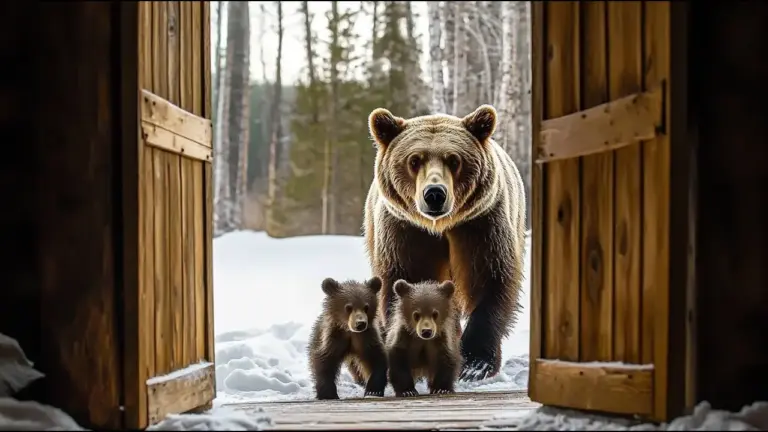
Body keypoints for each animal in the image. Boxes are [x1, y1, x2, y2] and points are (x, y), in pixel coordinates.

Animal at [364, 104, 527, 382]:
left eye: (454, 160)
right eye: (414, 160)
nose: (434, 194)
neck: (440, 227)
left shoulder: (480, 225)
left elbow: (490, 278)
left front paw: (475, 363)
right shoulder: (406, 232)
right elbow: (407, 280)